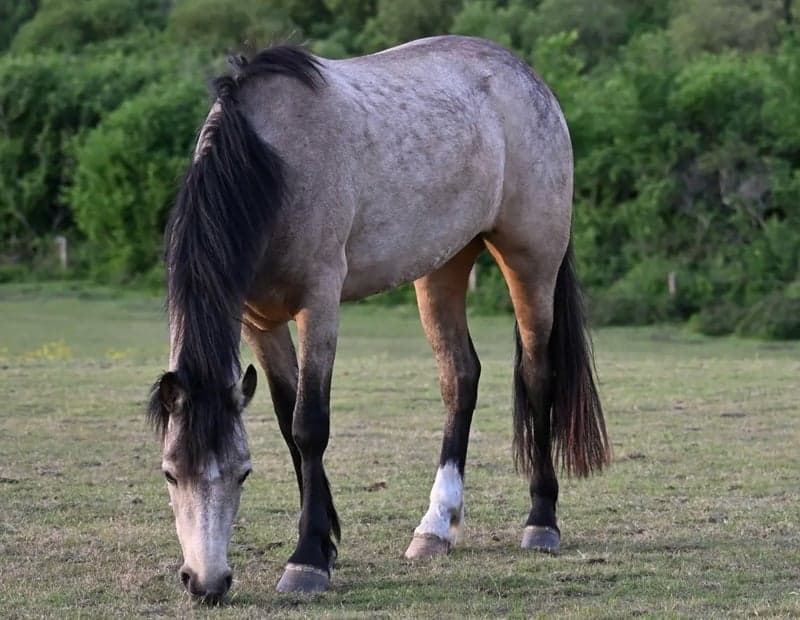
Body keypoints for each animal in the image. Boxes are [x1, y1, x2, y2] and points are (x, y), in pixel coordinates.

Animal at [147, 35, 610, 600]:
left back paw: (541, 521)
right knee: (460, 379)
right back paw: (436, 527)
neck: (271, 162)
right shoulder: (260, 321)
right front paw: (325, 542)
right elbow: (286, 421)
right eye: (170, 474)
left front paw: (307, 560)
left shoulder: (319, 302)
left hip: (532, 262)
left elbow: (309, 425)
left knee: (538, 375)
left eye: (242, 473)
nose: (206, 582)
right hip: (441, 267)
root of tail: (528, 78)